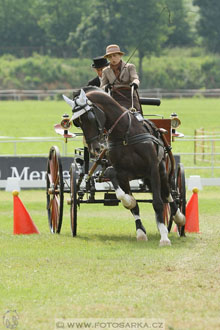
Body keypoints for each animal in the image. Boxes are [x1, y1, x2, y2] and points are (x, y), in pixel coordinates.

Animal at [62, 87, 185, 245]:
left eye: (90, 117)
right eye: (77, 122)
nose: (94, 149)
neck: (125, 134)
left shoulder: (152, 169)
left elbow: (158, 203)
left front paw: (164, 237)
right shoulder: (123, 174)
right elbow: (131, 203)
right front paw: (139, 229)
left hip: (161, 171)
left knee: (168, 194)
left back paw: (178, 217)